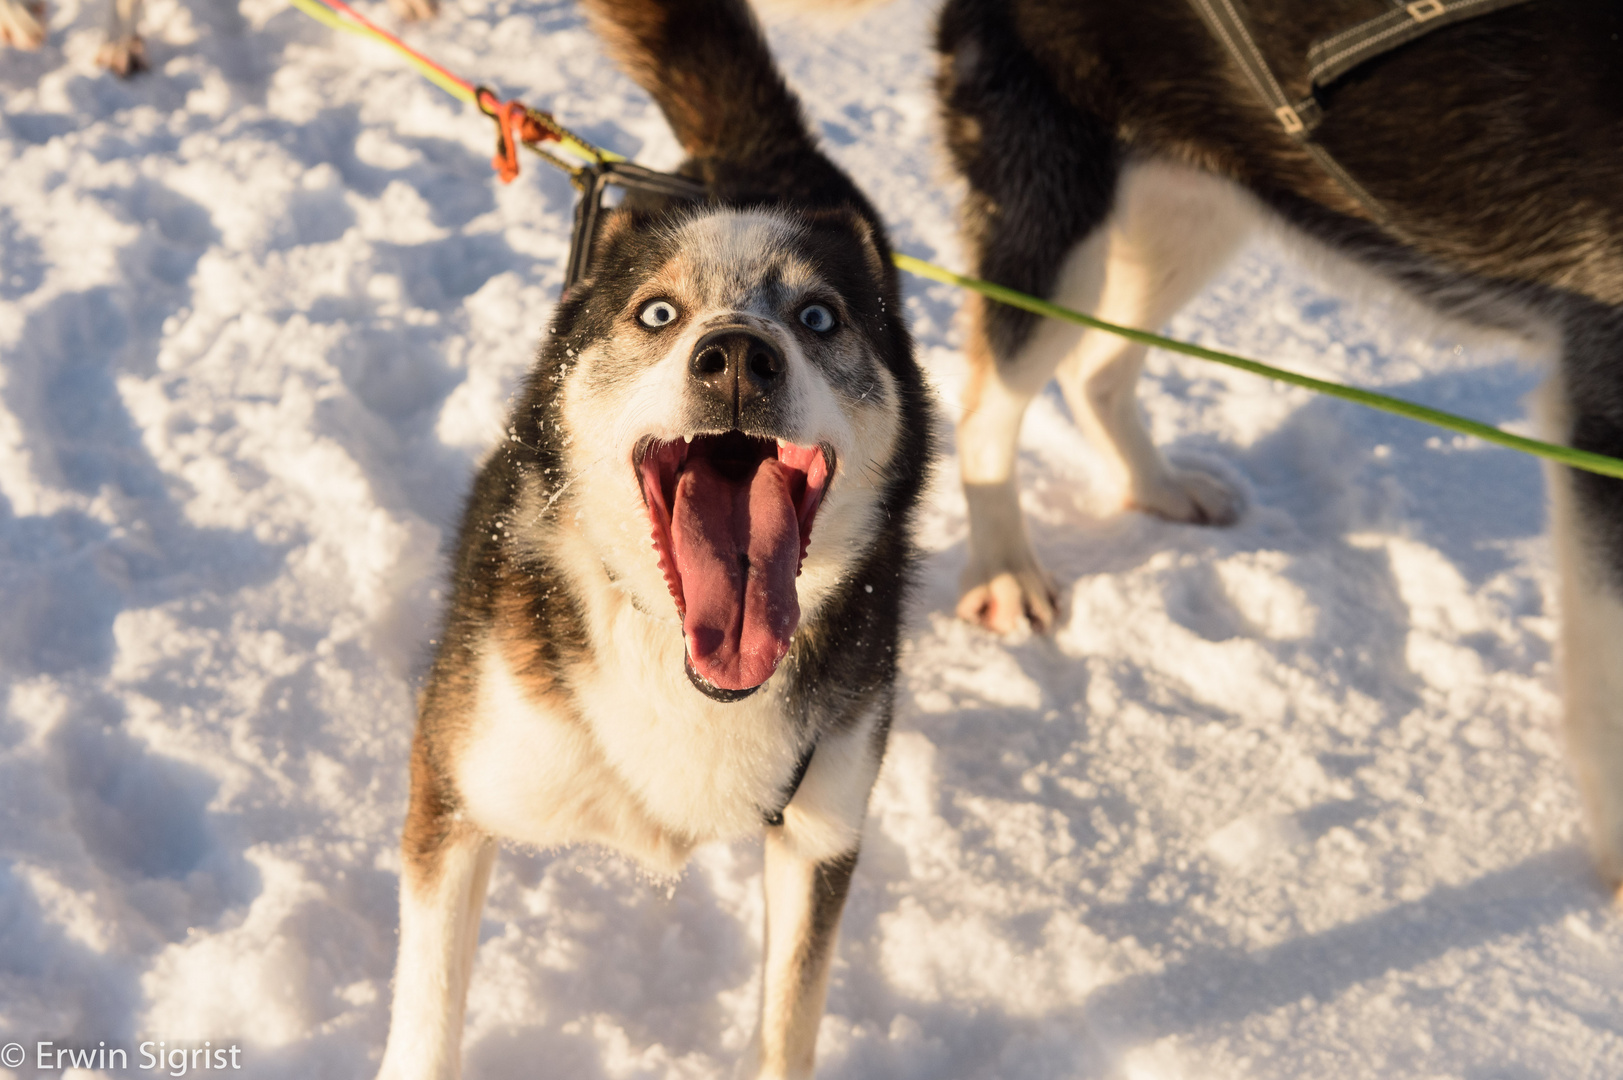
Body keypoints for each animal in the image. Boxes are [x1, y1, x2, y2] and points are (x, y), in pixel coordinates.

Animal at [371, 2, 928, 1078]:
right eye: (659, 313)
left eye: (819, 316)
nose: (739, 354)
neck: (683, 667)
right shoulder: (454, 797)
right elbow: (427, 1022)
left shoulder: (820, 834)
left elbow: (787, 1024)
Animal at [941, 2, 1623, 883]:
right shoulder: (1598, 410)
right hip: (1053, 223)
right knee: (987, 411)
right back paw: (1006, 570)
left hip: (1199, 206)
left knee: (1095, 371)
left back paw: (1158, 488)